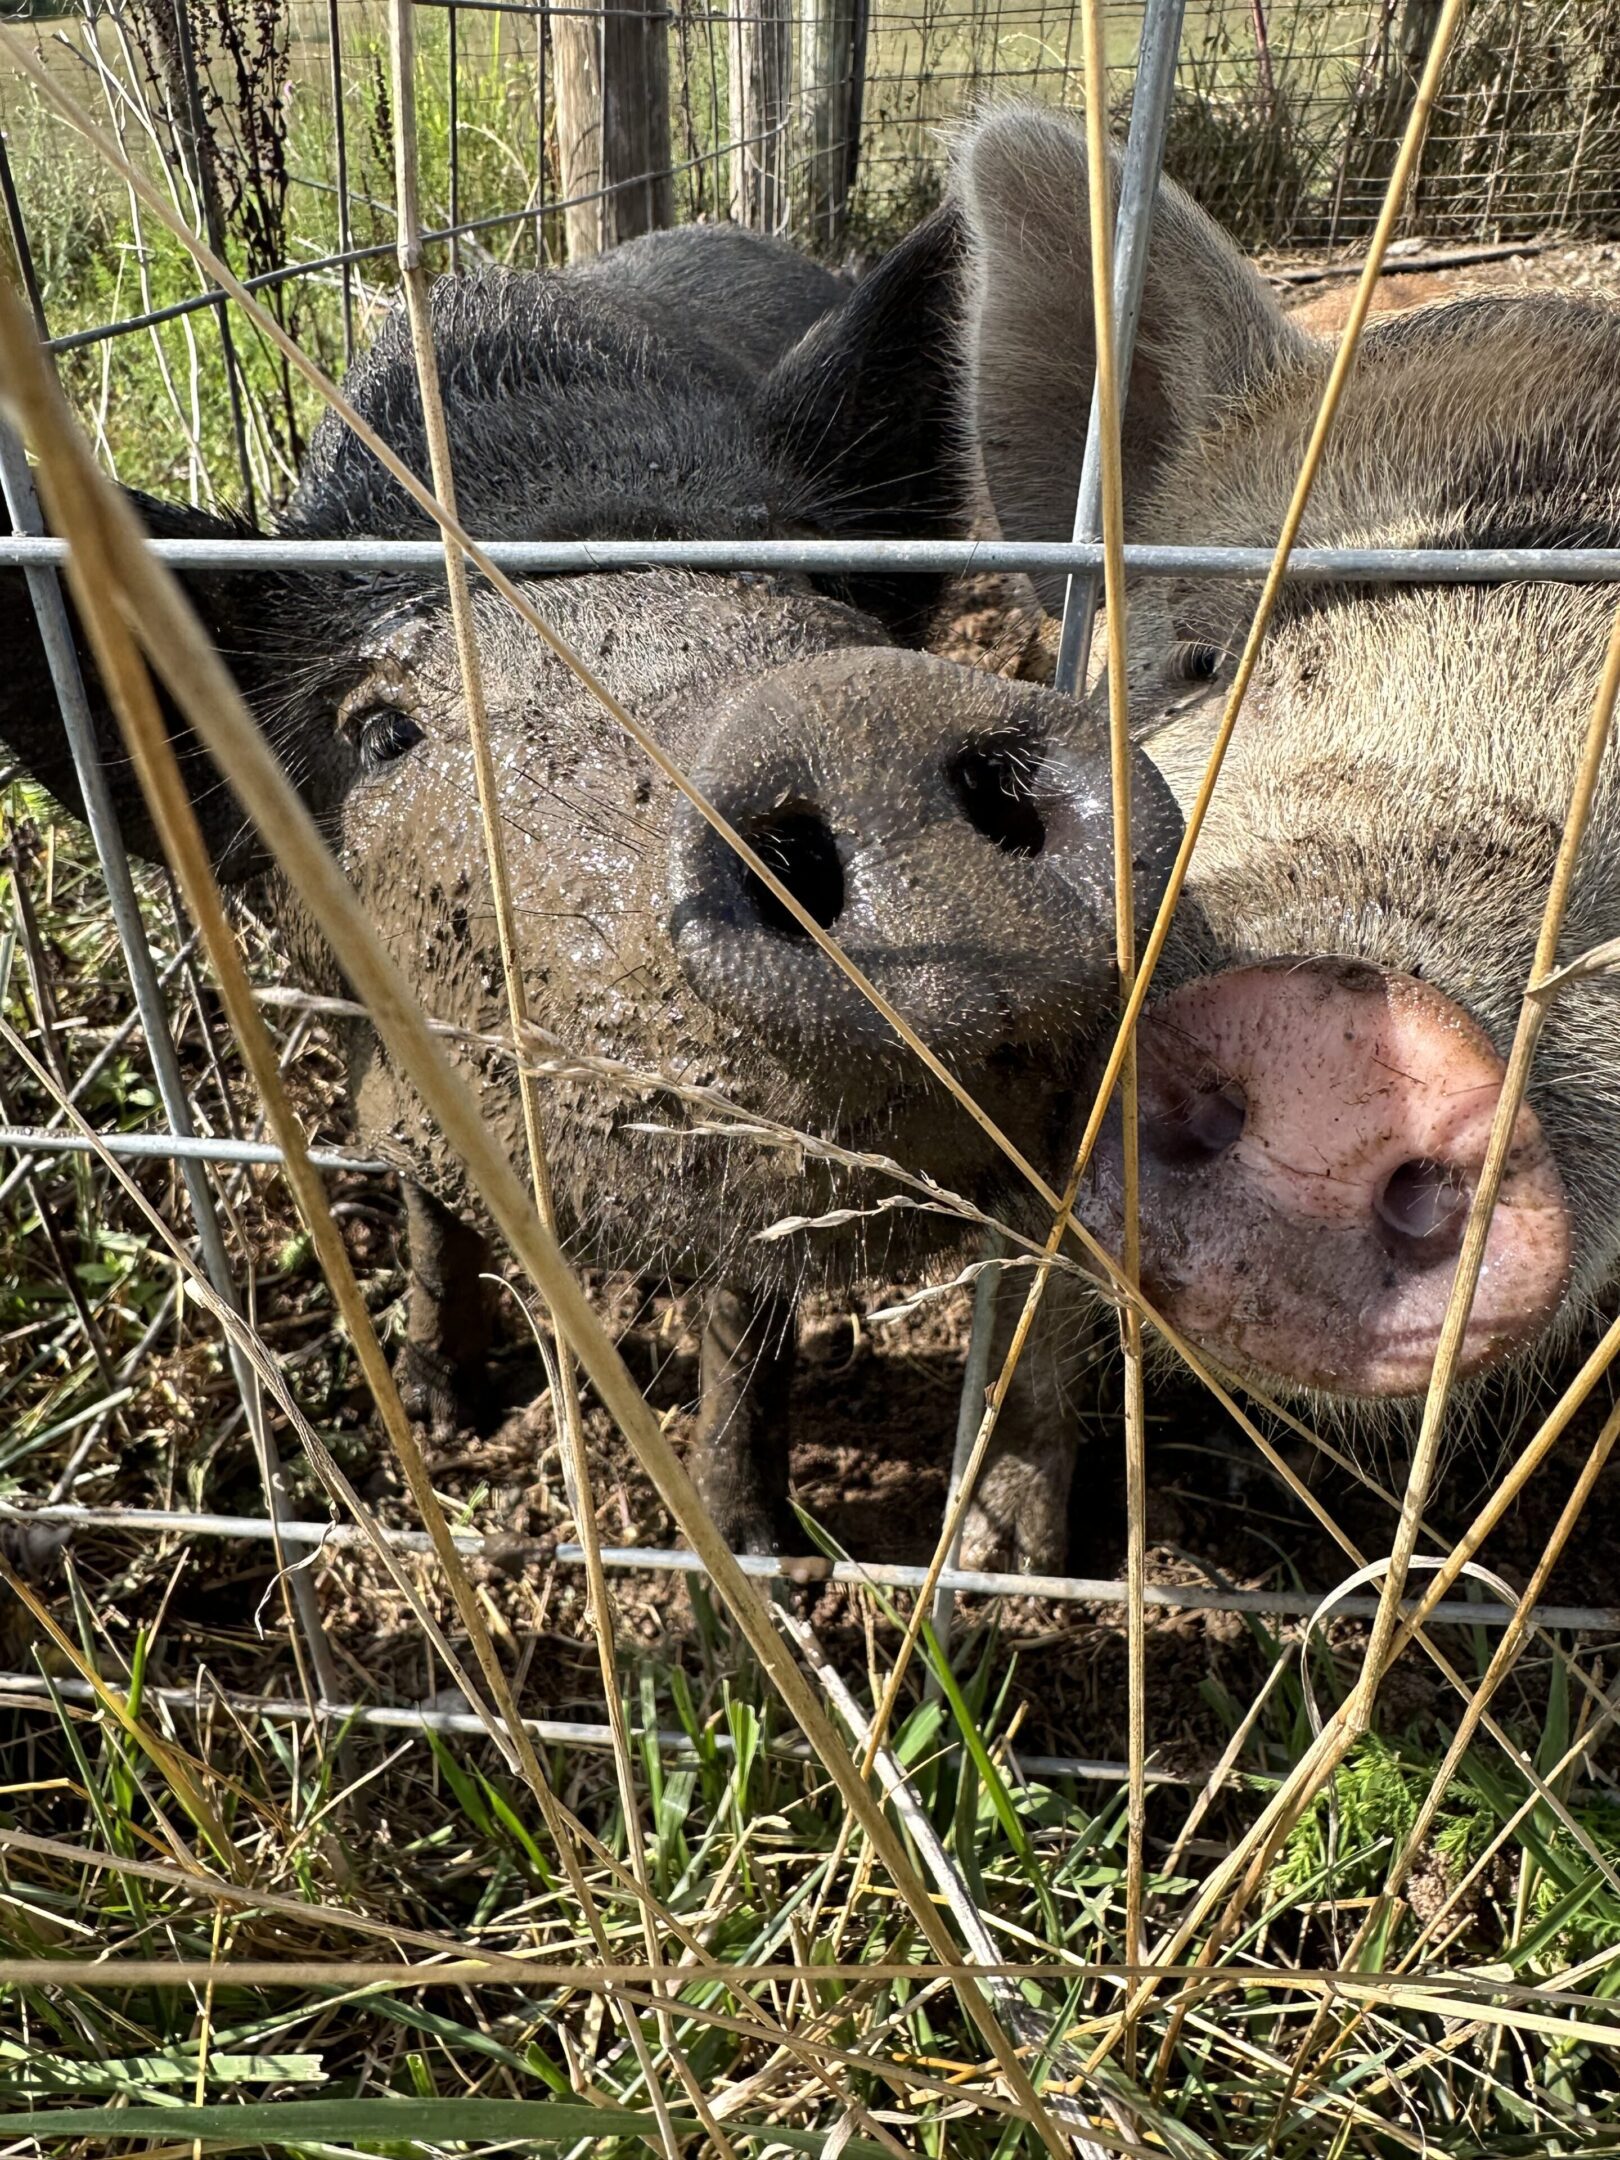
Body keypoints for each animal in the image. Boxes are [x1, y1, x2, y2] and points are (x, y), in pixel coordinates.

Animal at [0, 213, 1183, 1556]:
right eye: (380, 733)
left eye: (823, 596)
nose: (860, 718)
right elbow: (429, 1203)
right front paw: (446, 1413)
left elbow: (748, 1313)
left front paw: (753, 1551)